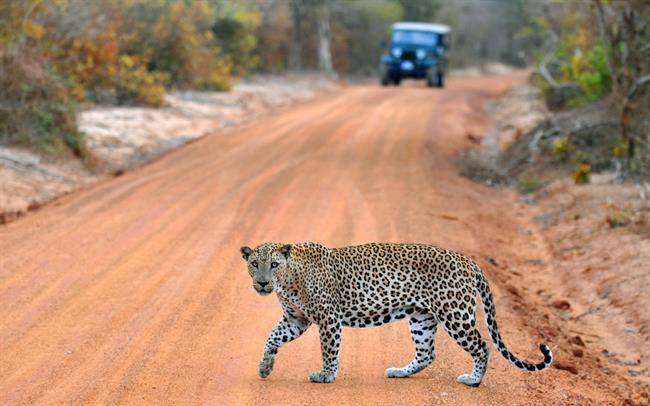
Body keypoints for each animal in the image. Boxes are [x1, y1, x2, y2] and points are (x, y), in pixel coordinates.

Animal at [238, 241, 552, 386]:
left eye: (274, 264)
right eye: (254, 264)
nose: (263, 283)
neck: (289, 281)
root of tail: (466, 259)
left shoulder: (328, 318)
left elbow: (329, 349)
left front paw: (326, 375)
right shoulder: (296, 319)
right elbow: (272, 338)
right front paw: (265, 367)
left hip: (455, 314)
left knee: (482, 346)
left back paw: (473, 380)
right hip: (422, 318)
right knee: (427, 354)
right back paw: (399, 372)